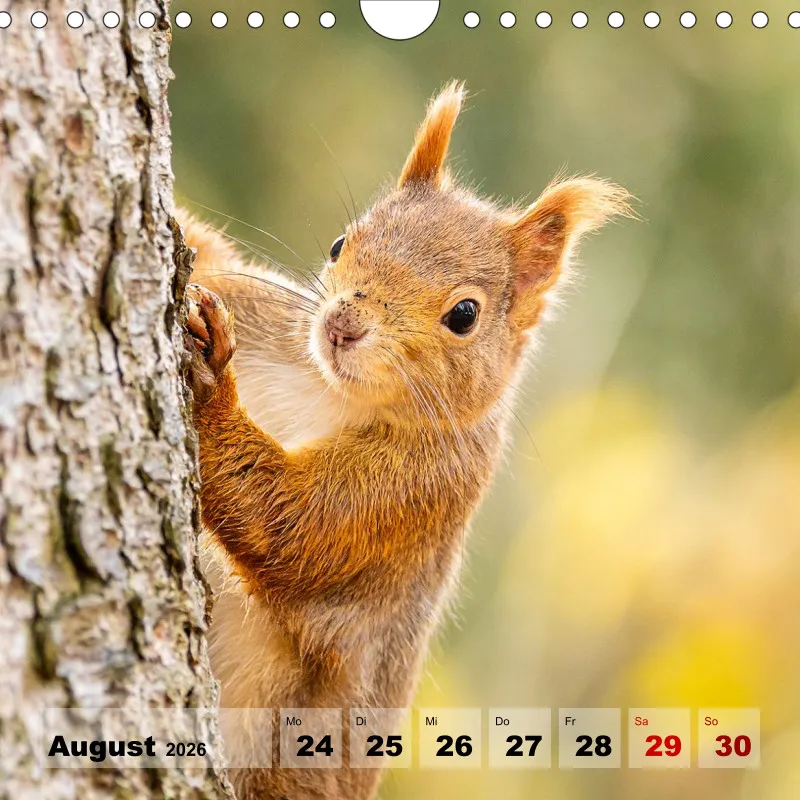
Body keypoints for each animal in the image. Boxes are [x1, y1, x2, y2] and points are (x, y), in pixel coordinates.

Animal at [180, 81, 630, 800]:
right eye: (341, 243)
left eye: (465, 315)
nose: (342, 326)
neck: (331, 389)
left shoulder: (414, 493)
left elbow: (293, 525)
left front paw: (211, 390)